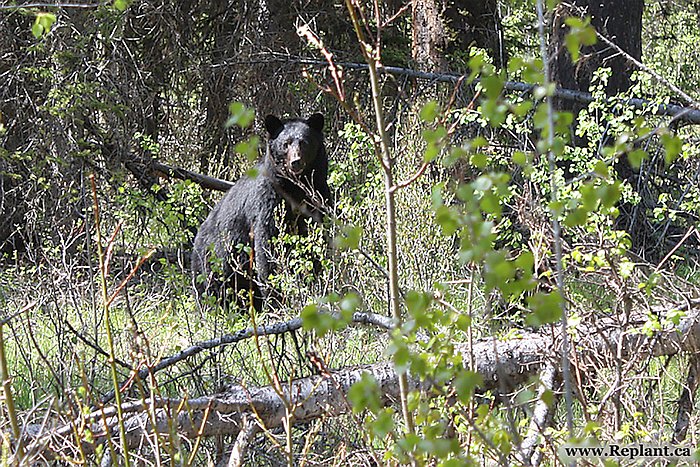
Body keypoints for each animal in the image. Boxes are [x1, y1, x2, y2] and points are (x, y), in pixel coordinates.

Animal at [193, 112, 332, 310]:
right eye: (286, 143)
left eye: (305, 142)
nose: (296, 162)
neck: (295, 189)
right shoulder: (267, 201)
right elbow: (268, 244)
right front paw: (276, 297)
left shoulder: (319, 197)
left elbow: (317, 239)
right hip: (214, 260)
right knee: (212, 288)